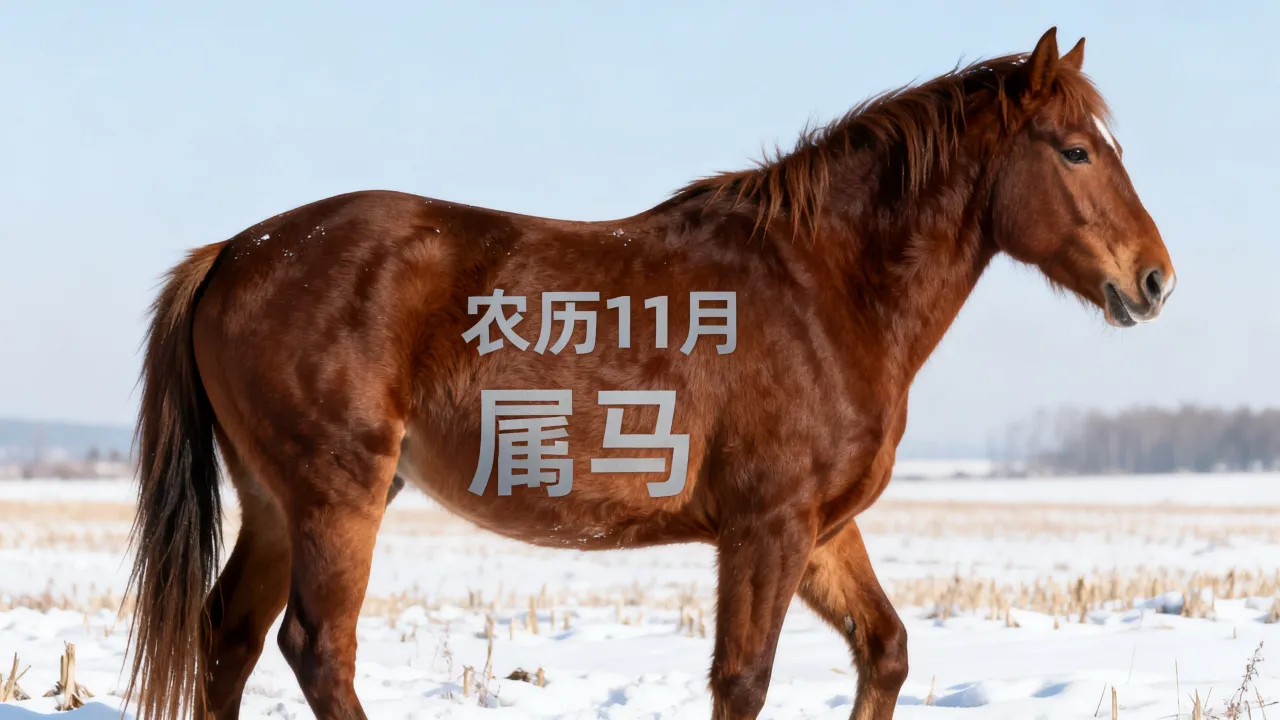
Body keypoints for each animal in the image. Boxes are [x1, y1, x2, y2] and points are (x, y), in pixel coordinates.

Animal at [123, 27, 1175, 720]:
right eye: (1076, 151)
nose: (1154, 279)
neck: (823, 286)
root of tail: (235, 252)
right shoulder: (766, 529)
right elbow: (743, 679)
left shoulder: (822, 530)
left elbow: (885, 652)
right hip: (337, 498)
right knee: (317, 648)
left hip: (275, 502)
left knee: (228, 641)